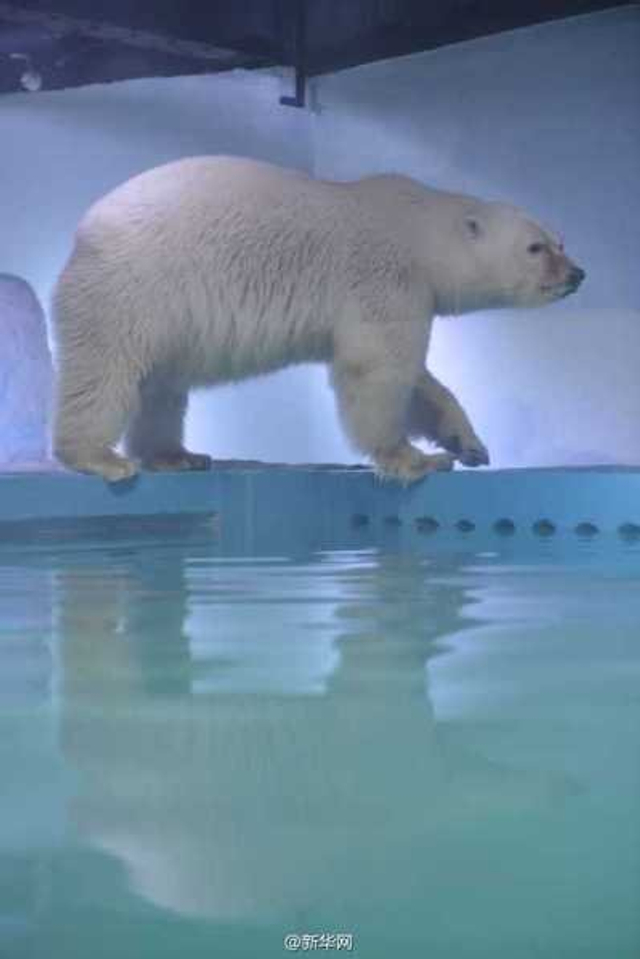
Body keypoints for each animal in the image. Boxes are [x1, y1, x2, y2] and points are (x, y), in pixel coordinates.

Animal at [51, 156, 585, 483]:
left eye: (560, 240)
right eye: (535, 248)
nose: (577, 274)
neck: (419, 230)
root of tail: (82, 232)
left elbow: (417, 378)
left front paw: (469, 443)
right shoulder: (383, 276)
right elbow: (378, 369)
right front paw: (415, 459)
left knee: (161, 387)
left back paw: (177, 455)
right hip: (131, 288)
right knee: (104, 372)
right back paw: (100, 457)